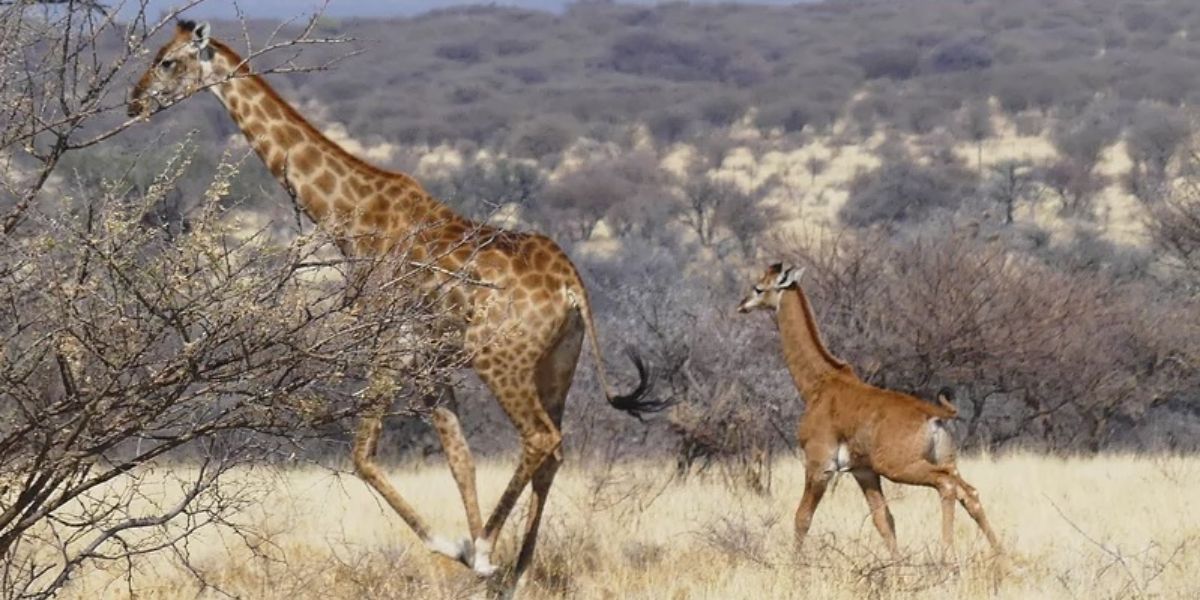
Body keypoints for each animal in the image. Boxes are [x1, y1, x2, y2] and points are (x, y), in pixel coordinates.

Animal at [131, 21, 667, 583]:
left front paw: (466, 549)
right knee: (554, 452)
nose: (134, 100)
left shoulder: (388, 343)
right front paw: (474, 556)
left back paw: (489, 549)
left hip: (499, 358)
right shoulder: (428, 360)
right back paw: (515, 573)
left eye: (167, 61)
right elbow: (460, 457)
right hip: (557, 364)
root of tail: (571, 285)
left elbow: (362, 455)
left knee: (541, 439)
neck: (352, 216)